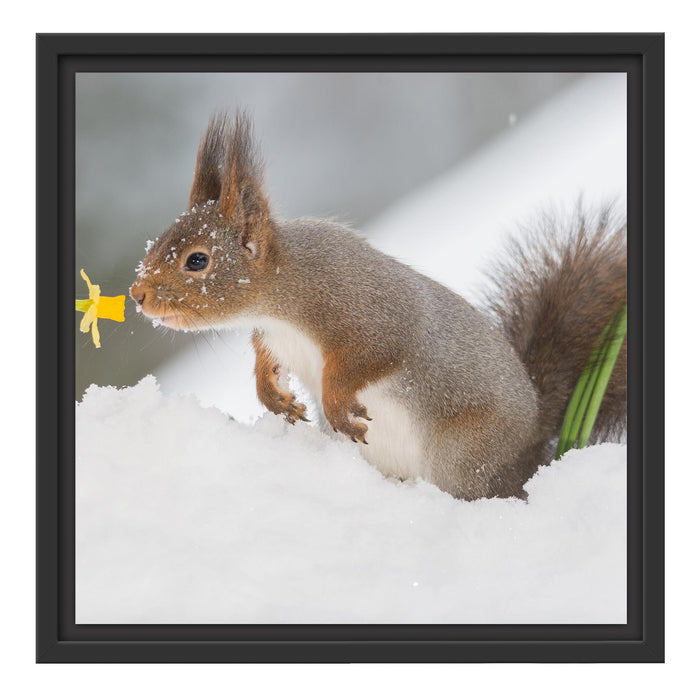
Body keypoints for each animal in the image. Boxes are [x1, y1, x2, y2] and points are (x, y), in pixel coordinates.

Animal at [130, 111, 627, 501]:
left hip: (466, 456)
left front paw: (335, 404)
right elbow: (266, 365)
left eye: (198, 260)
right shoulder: (274, 338)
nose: (137, 294)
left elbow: (371, 356)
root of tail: (535, 444)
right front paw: (276, 400)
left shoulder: (369, 313)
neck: (282, 296)